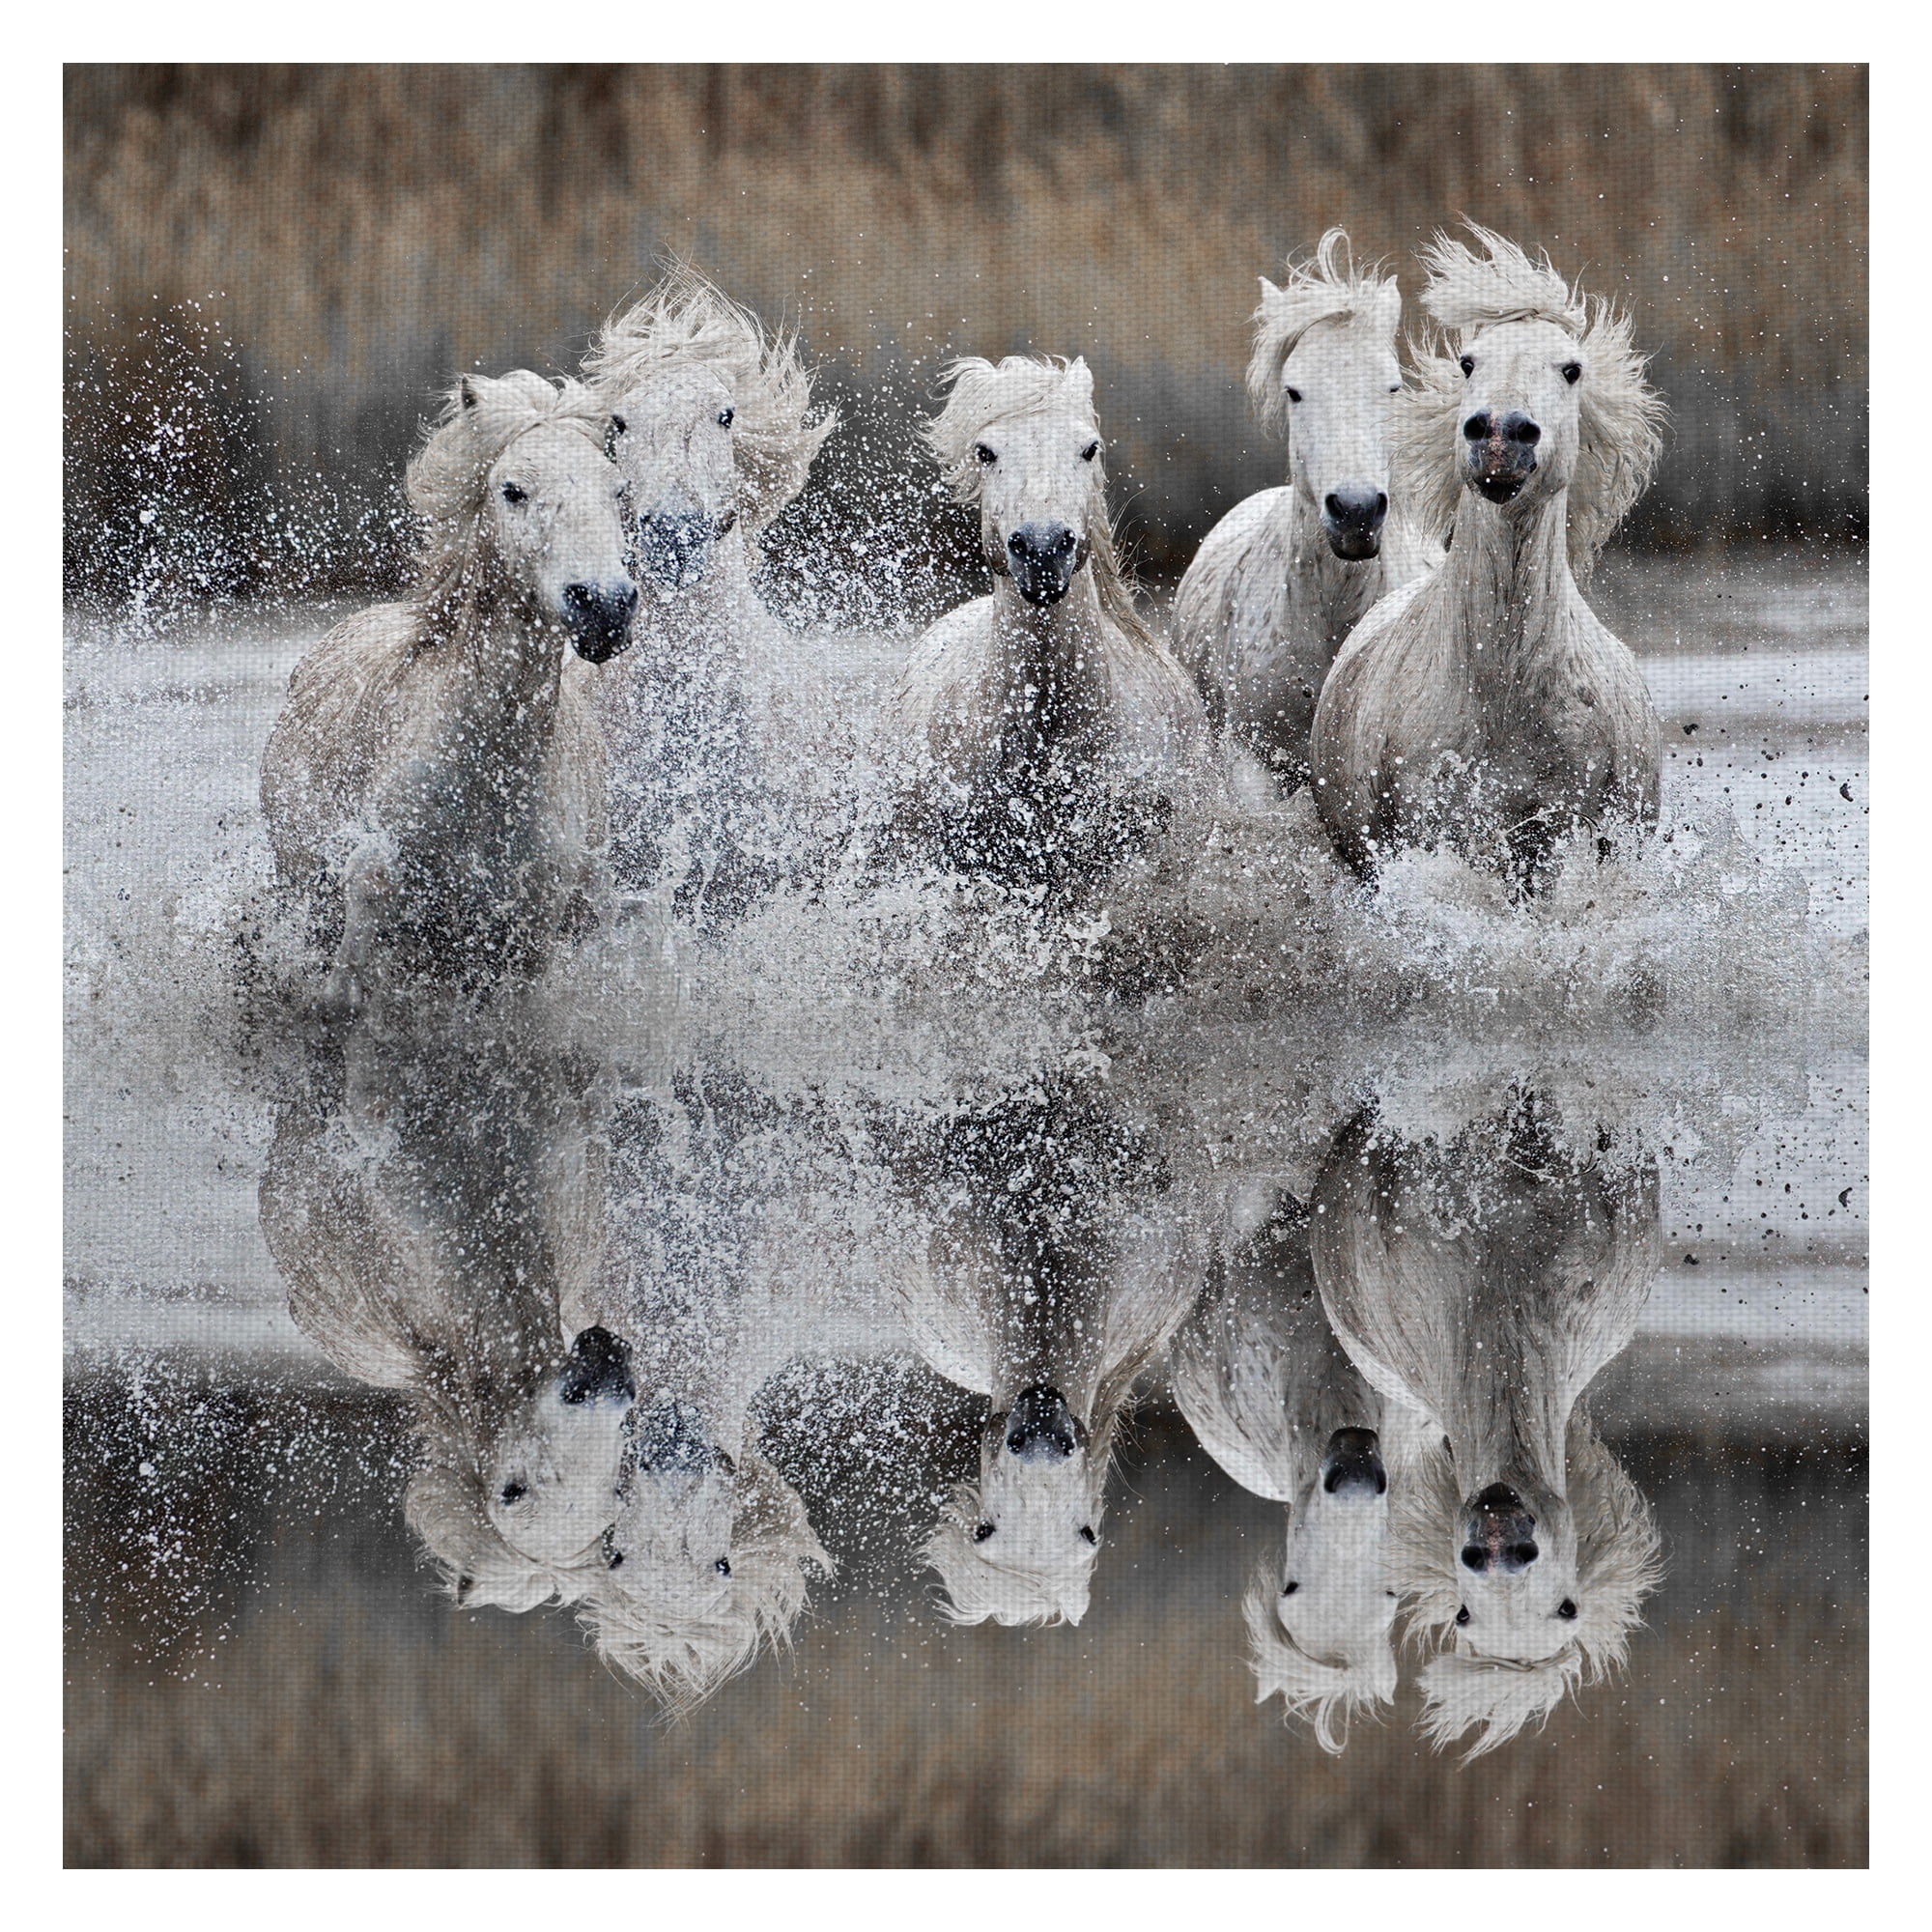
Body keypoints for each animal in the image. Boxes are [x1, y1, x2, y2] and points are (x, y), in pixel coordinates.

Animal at [1309, 225, 1666, 894]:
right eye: (1469, 362)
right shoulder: (1429, 827)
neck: (1501, 691)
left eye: (1572, 369)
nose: (1500, 434)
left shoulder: (1555, 836)